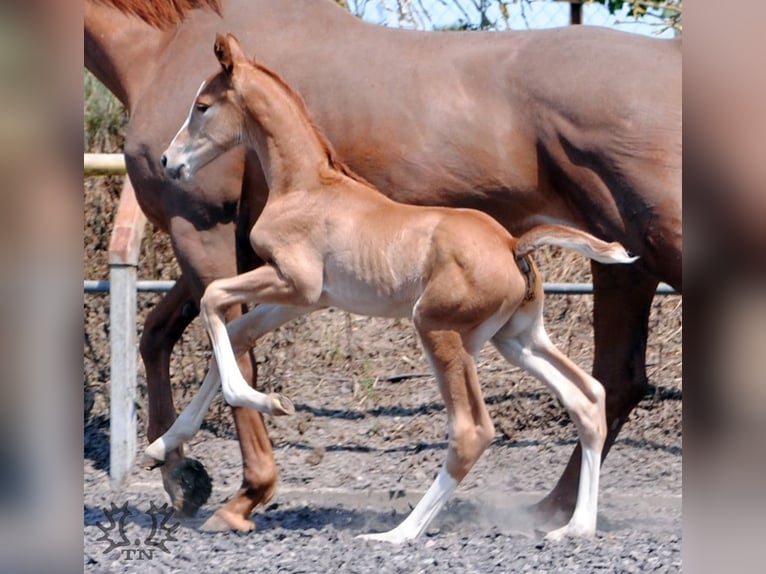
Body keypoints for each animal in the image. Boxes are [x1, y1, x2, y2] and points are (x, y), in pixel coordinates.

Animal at [85, 0, 681, 532]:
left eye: (203, 105)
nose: (170, 160)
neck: (308, 185)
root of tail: (514, 242)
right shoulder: (300, 299)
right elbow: (228, 335)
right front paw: (168, 452)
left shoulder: (281, 276)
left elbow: (217, 318)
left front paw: (250, 438)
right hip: (517, 337)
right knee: (591, 395)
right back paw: (568, 524)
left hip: (439, 328)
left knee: (475, 429)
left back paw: (400, 534)